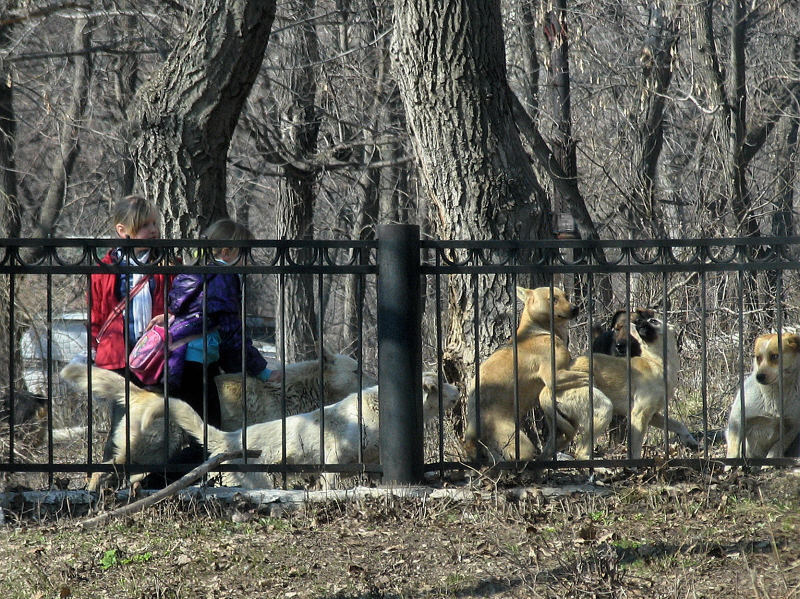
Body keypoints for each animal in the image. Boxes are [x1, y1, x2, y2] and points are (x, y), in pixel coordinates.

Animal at [462, 288, 612, 462]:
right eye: (553, 299)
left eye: (566, 296)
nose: (575, 308)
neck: (539, 330)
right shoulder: (552, 377)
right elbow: (586, 376)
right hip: (520, 444)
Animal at [724, 332, 800, 460]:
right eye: (758, 358)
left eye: (774, 356)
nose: (759, 377)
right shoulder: (737, 418)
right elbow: (734, 450)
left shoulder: (793, 426)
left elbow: (777, 447)